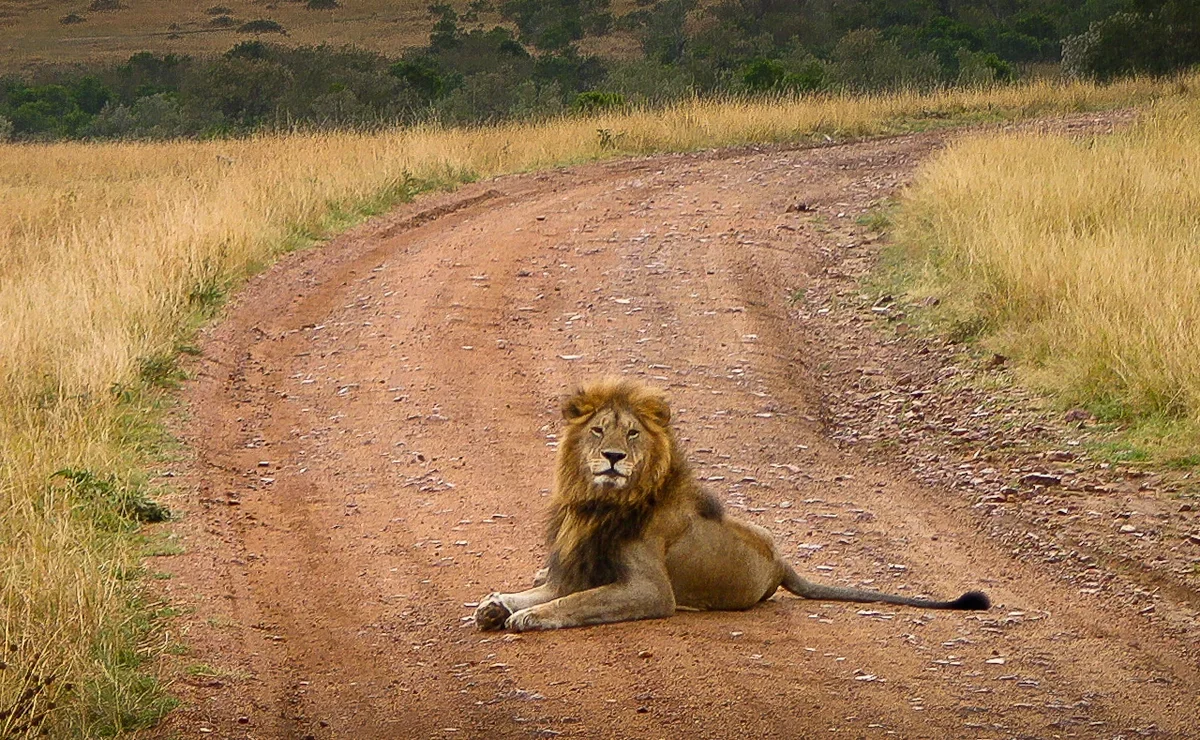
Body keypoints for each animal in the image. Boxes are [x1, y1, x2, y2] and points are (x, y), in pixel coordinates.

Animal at [472, 378, 988, 633]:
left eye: (632, 433)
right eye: (599, 430)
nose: (613, 457)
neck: (600, 504)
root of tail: (781, 561)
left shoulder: (651, 591)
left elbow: (578, 602)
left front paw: (528, 617)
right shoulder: (578, 569)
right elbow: (546, 590)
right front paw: (496, 605)